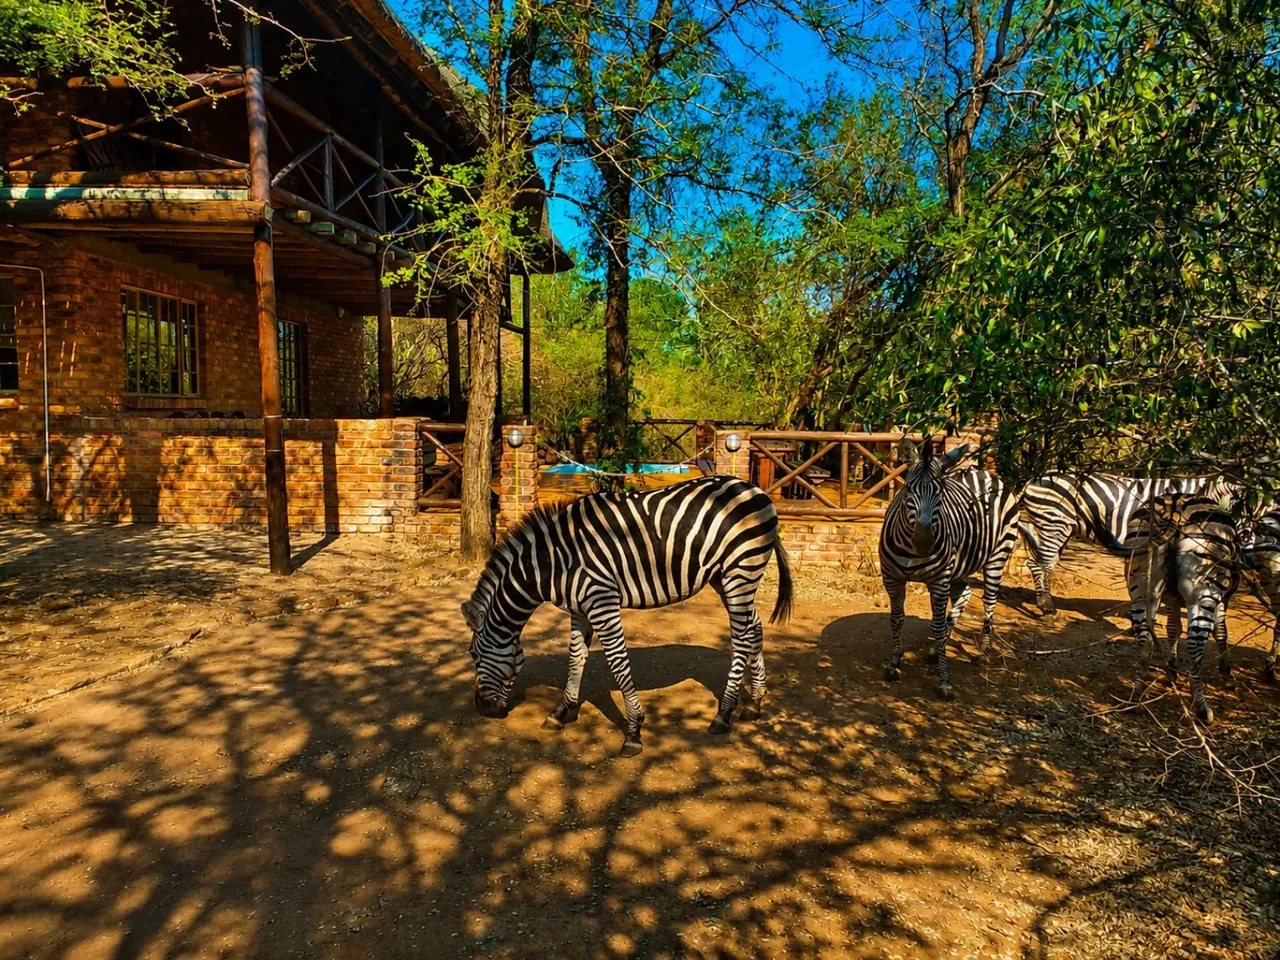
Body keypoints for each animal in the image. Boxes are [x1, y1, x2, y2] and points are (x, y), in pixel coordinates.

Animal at [461, 474, 793, 757]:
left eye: (474, 655)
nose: (481, 709)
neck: (554, 561)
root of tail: (754, 489)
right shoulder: (578, 609)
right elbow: (576, 657)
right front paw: (561, 712)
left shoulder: (601, 600)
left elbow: (618, 663)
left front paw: (633, 731)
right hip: (724, 577)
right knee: (754, 627)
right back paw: (754, 704)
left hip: (741, 570)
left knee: (742, 638)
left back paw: (723, 714)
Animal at [879, 438, 1021, 700]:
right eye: (908, 490)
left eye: (940, 493)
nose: (924, 542)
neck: (911, 551)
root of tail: (982, 471)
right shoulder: (891, 577)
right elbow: (897, 619)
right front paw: (894, 664)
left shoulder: (939, 580)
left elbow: (936, 624)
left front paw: (944, 681)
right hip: (960, 566)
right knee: (964, 593)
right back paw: (938, 649)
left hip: (997, 556)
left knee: (989, 602)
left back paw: (982, 653)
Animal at [1019, 473, 1238, 616]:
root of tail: (1032, 480)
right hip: (1054, 523)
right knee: (1040, 564)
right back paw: (1047, 608)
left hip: (1058, 527)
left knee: (1039, 562)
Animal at [1121, 493, 1241, 723]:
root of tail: (1175, 507)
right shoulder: (1221, 600)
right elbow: (1221, 631)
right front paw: (1226, 669)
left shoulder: (1171, 600)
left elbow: (1172, 628)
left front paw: (1172, 667)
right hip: (1204, 590)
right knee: (1195, 645)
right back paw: (1202, 708)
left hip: (1143, 588)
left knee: (1144, 639)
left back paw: (1136, 697)